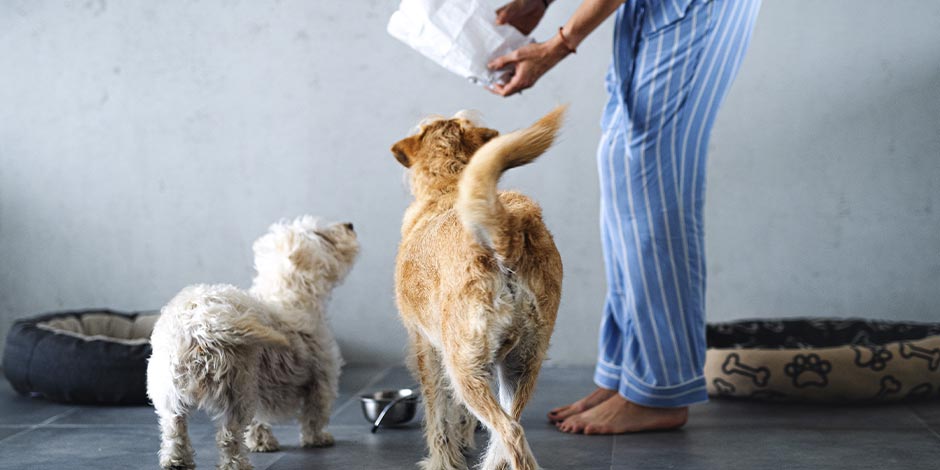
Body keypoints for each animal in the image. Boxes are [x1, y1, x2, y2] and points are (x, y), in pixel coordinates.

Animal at [147, 217, 360, 470]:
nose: (350, 225)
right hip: (235, 389)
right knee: (228, 435)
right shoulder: (322, 377)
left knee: (174, 428)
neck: (289, 294)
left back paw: (176, 461)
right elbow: (315, 412)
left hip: (170, 391)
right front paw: (317, 439)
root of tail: (203, 322)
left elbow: (260, 417)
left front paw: (261, 442)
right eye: (322, 235)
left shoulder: (262, 384)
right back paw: (237, 464)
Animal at [392, 107, 564, 470]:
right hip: (521, 364)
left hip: (464, 365)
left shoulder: (426, 349)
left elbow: (438, 414)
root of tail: (507, 236)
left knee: (508, 432)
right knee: (510, 428)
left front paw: (443, 459)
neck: (447, 185)